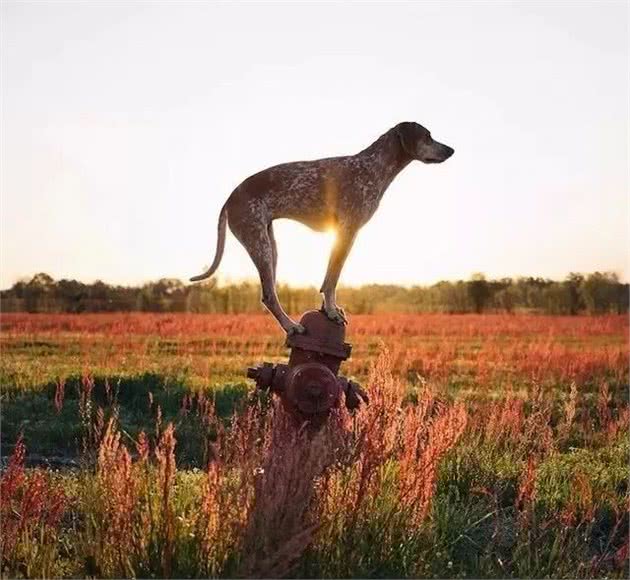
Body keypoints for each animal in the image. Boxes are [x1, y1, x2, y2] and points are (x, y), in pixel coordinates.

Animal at [190, 122, 456, 336]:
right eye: (428, 136)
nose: (451, 150)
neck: (373, 166)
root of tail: (230, 198)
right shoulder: (347, 230)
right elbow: (331, 279)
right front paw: (330, 311)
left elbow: (331, 278)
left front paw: (330, 308)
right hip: (259, 244)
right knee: (269, 295)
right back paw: (291, 326)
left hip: (269, 244)